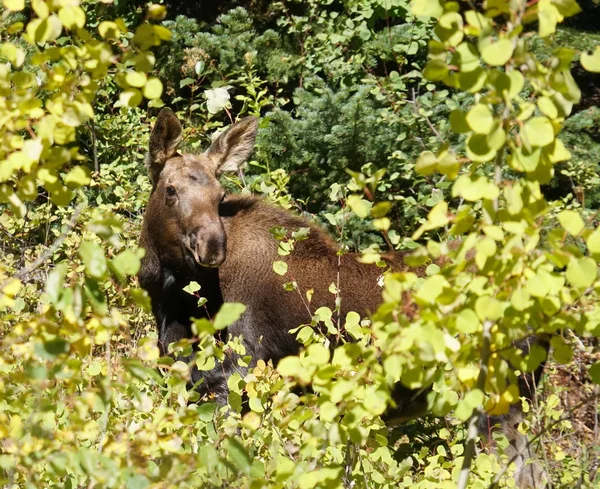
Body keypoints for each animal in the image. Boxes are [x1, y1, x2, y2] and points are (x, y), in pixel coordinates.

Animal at [139, 108, 548, 486]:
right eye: (170, 189)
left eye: (219, 194)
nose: (212, 247)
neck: (175, 305)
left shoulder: (240, 371)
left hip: (497, 394)